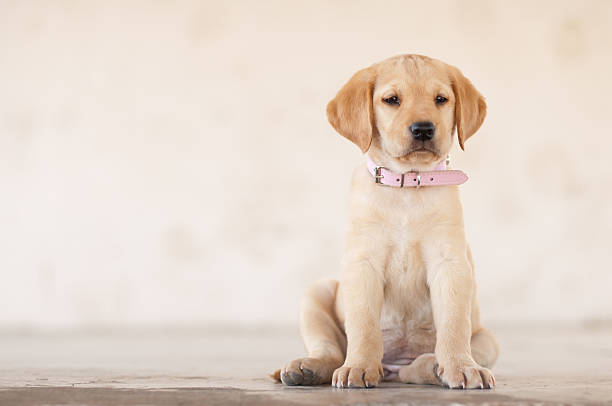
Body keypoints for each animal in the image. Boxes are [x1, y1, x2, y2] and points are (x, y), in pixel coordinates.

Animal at [274, 54, 500, 390]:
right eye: (392, 100)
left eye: (441, 99)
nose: (423, 129)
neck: (407, 184)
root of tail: (392, 366)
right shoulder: (362, 264)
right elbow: (363, 324)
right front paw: (358, 366)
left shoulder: (450, 264)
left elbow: (454, 324)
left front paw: (460, 365)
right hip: (317, 293)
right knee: (330, 351)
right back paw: (308, 368)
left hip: (487, 338)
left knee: (415, 368)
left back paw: (434, 367)